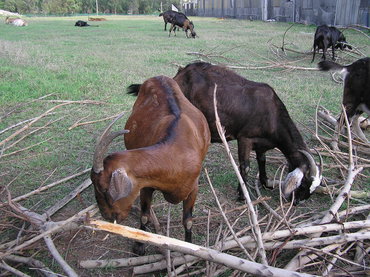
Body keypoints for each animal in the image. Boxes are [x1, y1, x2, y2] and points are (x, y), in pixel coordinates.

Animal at [91, 74, 210, 253]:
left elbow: (188, 221)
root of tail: (159, 77)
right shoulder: (146, 185)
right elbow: (145, 216)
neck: (176, 154)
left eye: (104, 189)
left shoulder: (193, 188)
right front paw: (139, 246)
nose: (107, 216)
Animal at [173, 62, 320, 203]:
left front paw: (265, 183)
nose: (297, 202)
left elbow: (262, 160)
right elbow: (245, 166)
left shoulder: (262, 144)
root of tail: (182, 72)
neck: (273, 115)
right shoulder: (245, 138)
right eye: (303, 184)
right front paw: (242, 196)